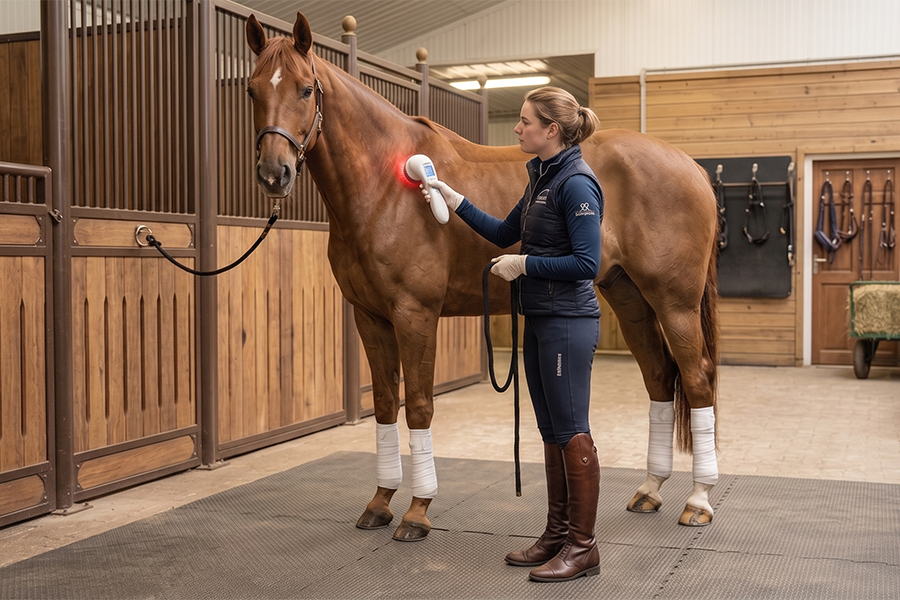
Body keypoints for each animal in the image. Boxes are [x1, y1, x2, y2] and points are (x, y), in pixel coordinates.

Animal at [245, 11, 720, 542]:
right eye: (252, 89)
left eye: (306, 89)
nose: (274, 174)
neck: (382, 187)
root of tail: (692, 168)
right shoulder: (368, 316)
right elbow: (386, 404)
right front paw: (381, 502)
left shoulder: (415, 314)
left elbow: (419, 405)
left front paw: (417, 511)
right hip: (629, 295)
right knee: (659, 376)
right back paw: (650, 490)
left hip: (674, 302)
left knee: (697, 379)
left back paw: (698, 501)